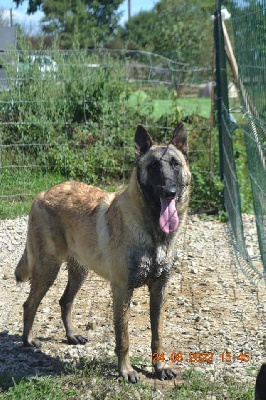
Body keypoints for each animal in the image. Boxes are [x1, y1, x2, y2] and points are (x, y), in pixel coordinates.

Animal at [15, 122, 191, 382]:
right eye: (153, 166)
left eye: (175, 164)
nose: (168, 191)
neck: (151, 230)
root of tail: (42, 194)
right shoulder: (122, 290)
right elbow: (123, 337)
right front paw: (126, 370)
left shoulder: (159, 290)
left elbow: (157, 335)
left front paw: (159, 368)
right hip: (48, 269)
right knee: (29, 304)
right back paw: (28, 340)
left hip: (79, 272)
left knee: (65, 301)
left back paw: (71, 335)